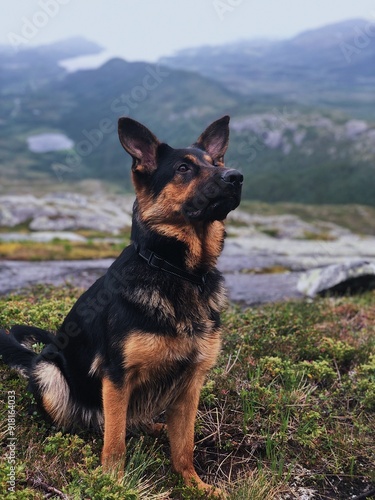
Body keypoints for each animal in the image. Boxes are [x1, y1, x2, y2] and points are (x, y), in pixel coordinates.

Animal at [0, 117, 244, 496]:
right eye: (183, 168)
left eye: (216, 162)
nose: (236, 176)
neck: (177, 271)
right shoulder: (117, 377)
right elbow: (115, 444)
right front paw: (112, 484)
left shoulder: (191, 383)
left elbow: (184, 445)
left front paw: (194, 485)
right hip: (51, 375)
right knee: (89, 425)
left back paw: (156, 428)